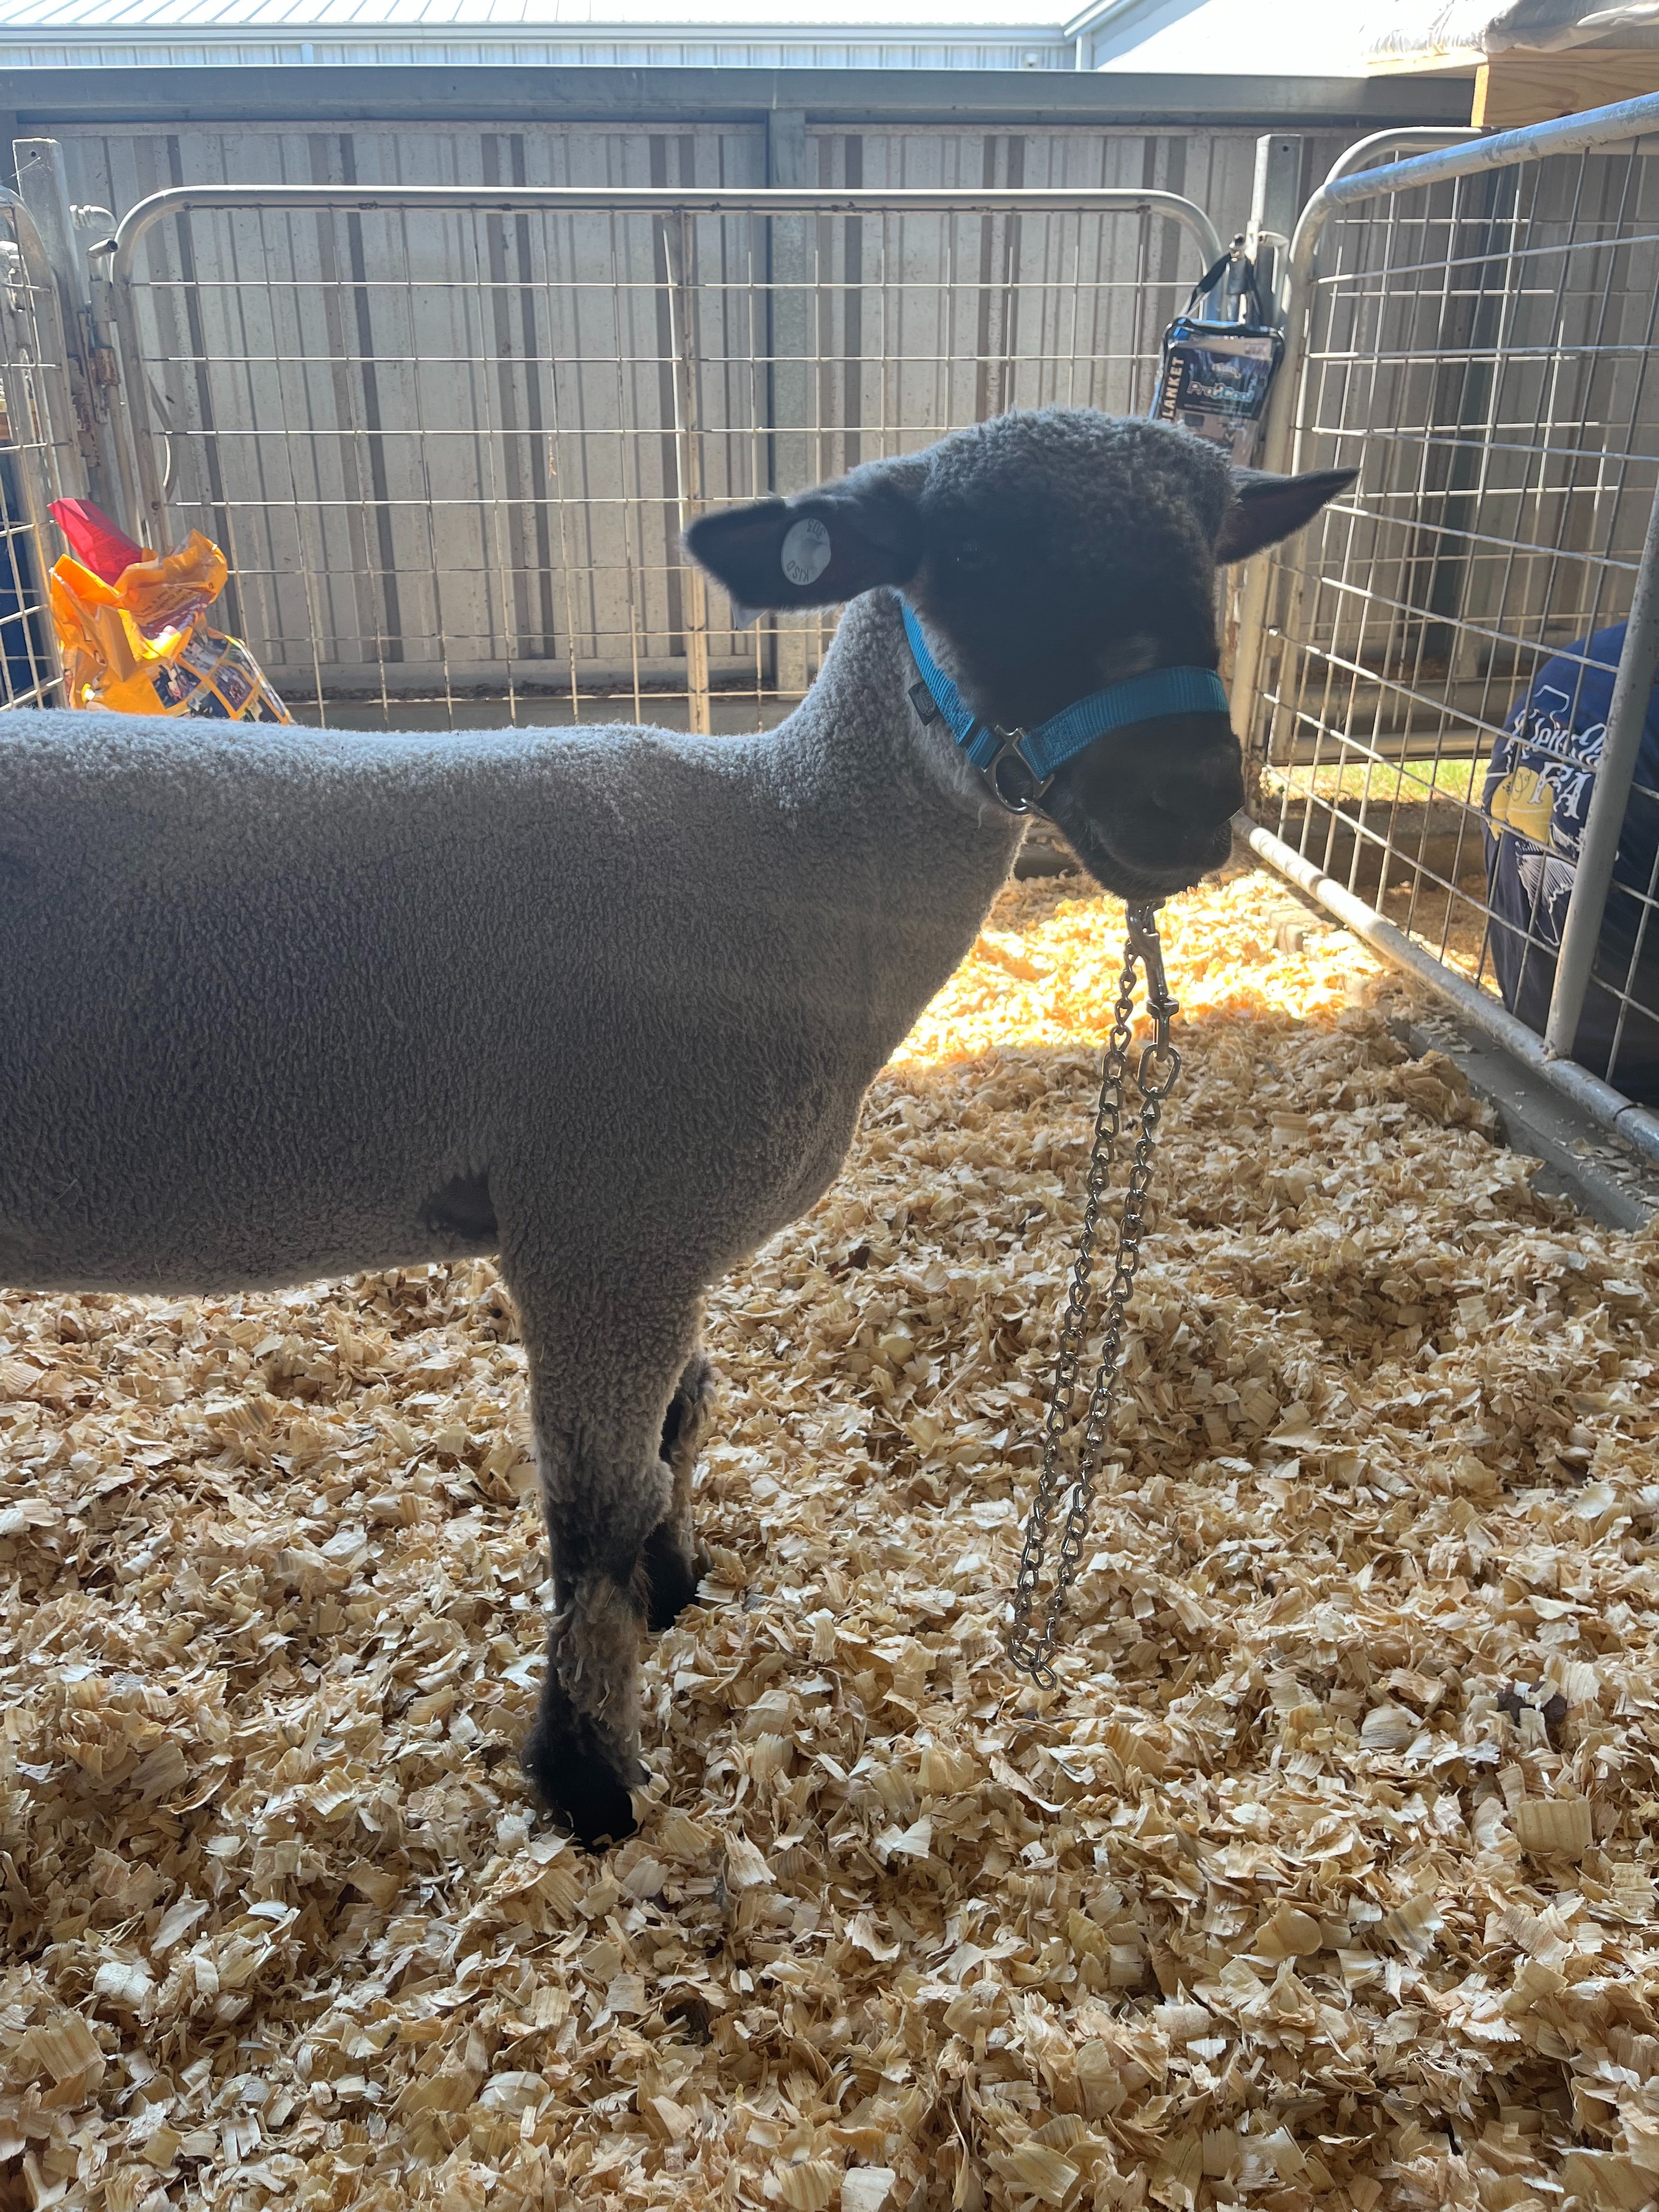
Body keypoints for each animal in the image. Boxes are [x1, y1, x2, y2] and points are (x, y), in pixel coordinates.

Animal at [0, 410, 1351, 1846]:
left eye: (1210, 557)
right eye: (975, 559)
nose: (1189, 802)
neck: (783, 858)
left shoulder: (667, 1238)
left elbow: (684, 1420)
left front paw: (673, 1589)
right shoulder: (605, 1231)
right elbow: (596, 1512)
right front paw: (590, 1775)